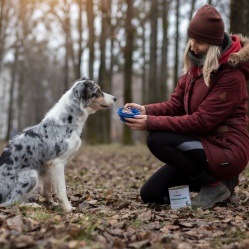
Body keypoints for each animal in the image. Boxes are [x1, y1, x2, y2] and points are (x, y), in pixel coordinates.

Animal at [0, 77, 116, 211]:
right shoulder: (57, 163)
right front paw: (68, 208)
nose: (115, 98)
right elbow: (61, 190)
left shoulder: (47, 166)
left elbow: (47, 190)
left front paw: (52, 204)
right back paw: (32, 205)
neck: (66, 122)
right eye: (98, 91)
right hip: (30, 174)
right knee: (10, 202)